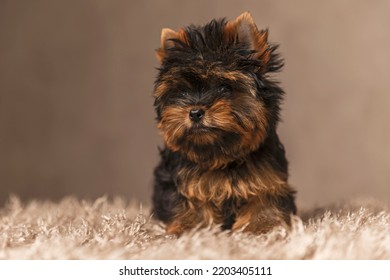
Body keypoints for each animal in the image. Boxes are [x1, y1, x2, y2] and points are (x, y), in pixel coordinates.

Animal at [152, 12, 296, 235]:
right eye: (182, 93)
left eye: (224, 88)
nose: (195, 112)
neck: (221, 156)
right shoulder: (179, 179)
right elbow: (190, 200)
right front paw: (191, 228)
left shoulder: (268, 178)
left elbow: (264, 198)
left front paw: (262, 227)